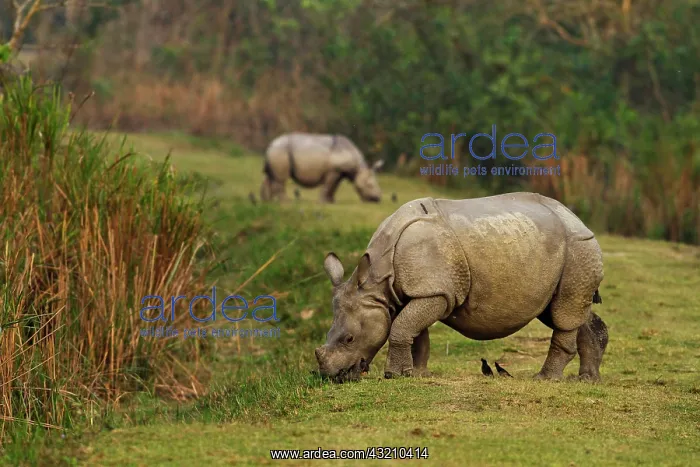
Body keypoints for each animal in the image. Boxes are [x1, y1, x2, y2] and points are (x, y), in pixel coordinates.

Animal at [315, 192, 608, 383]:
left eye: (349, 339)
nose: (332, 376)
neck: (377, 282)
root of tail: (577, 218)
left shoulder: (435, 291)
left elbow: (402, 328)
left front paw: (394, 375)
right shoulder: (413, 291)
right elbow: (414, 332)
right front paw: (416, 374)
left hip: (578, 247)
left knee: (564, 313)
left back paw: (545, 379)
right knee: (562, 312)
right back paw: (587, 380)